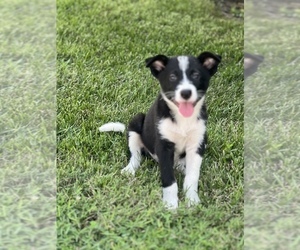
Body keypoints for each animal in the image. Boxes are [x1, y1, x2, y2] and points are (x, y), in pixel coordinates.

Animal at [99, 51, 221, 209]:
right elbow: (169, 180)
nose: (186, 93)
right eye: (172, 77)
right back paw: (130, 169)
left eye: (196, 75)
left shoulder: (197, 144)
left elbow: (192, 177)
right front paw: (170, 205)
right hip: (136, 123)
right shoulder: (164, 146)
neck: (182, 119)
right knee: (136, 156)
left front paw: (192, 201)